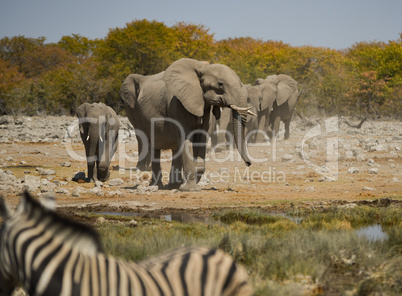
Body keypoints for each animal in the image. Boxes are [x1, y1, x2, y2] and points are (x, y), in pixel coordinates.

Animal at [119, 58, 253, 192]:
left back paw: (173, 185)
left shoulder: (204, 109)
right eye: (220, 84)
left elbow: (200, 139)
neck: (201, 68)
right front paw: (191, 189)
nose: (249, 163)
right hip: (142, 119)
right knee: (154, 146)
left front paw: (189, 184)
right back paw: (157, 186)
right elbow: (185, 139)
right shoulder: (177, 104)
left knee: (174, 148)